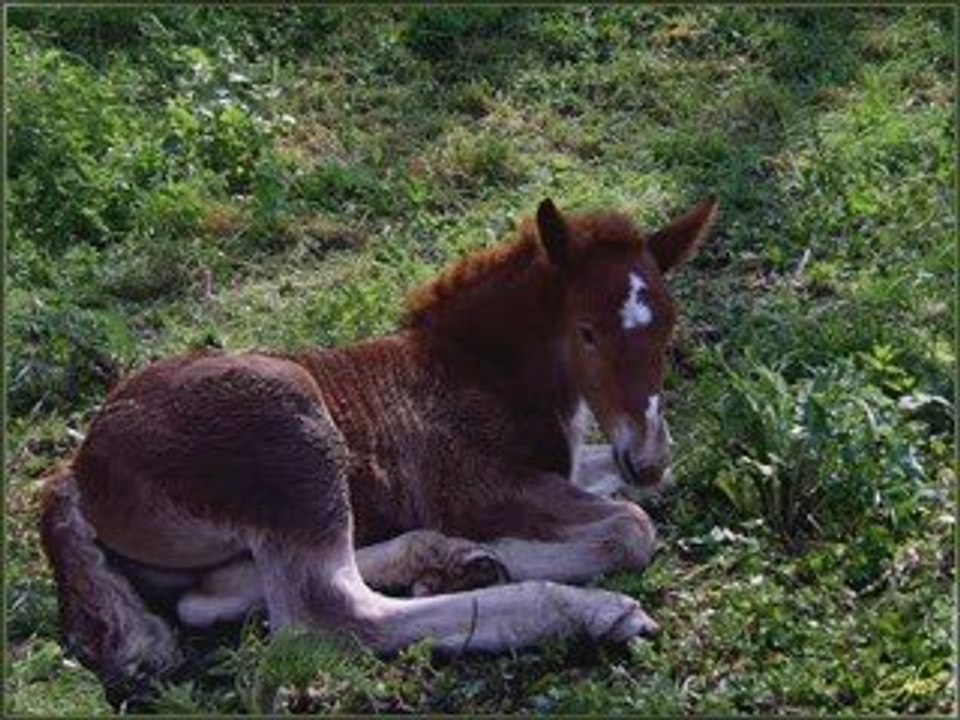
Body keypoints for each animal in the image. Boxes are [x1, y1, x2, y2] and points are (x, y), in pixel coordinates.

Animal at [39, 196, 718, 700]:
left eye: (669, 325)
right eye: (587, 332)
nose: (646, 457)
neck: (476, 367)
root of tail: (79, 469)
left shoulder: (572, 464)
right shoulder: (471, 485)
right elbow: (631, 527)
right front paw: (508, 552)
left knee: (209, 598)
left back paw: (447, 558)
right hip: (295, 441)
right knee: (331, 618)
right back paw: (583, 609)